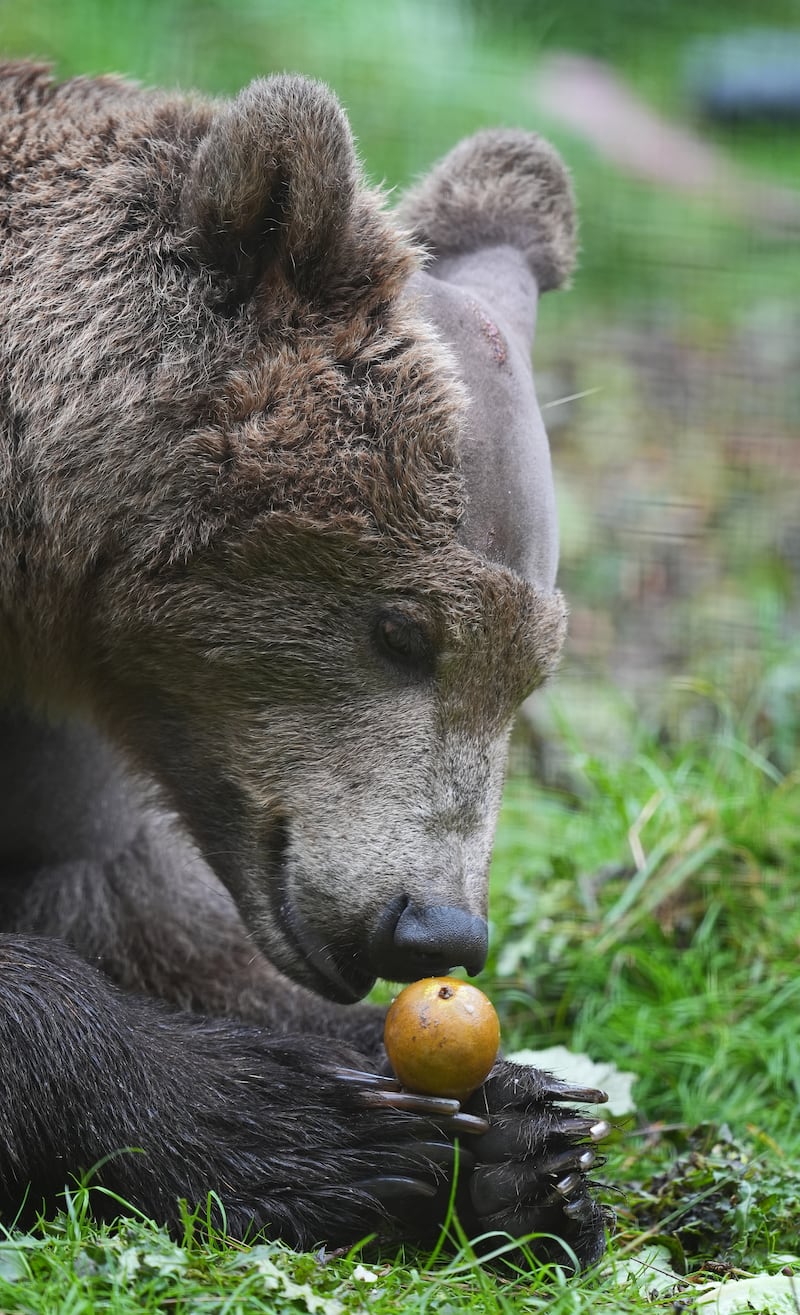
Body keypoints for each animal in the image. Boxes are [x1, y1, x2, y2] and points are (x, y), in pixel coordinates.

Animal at [0, 66, 610, 1267]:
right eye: (403, 630)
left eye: (529, 674)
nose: (435, 926)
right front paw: (307, 1127)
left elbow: (135, 906)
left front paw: (520, 1137)